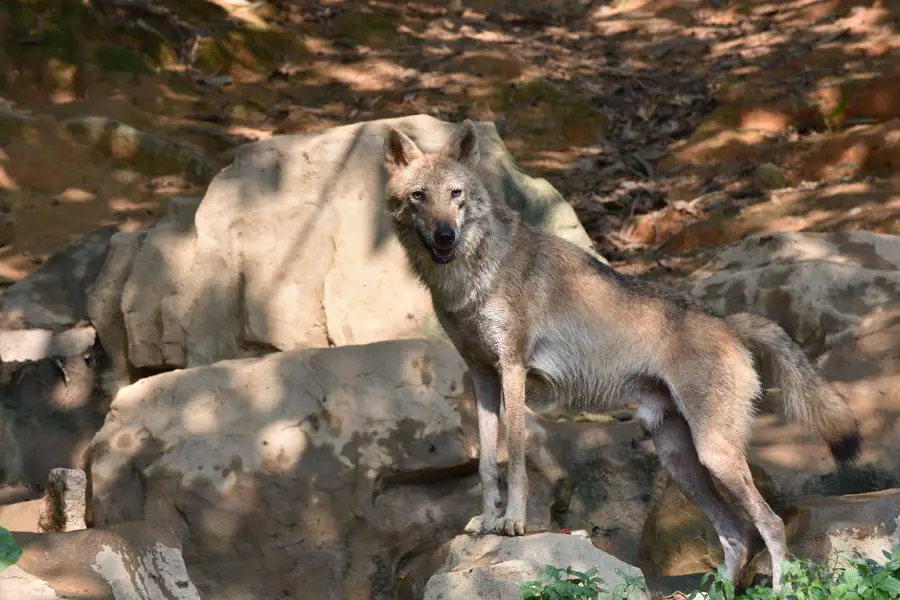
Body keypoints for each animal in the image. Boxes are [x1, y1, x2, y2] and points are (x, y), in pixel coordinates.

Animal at [378, 118, 856, 592]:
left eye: (456, 194)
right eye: (419, 196)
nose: (444, 235)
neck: (471, 278)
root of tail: (728, 323)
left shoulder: (512, 369)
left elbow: (513, 459)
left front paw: (511, 523)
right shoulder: (481, 374)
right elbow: (484, 463)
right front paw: (487, 520)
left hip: (714, 454)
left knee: (770, 524)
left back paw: (778, 589)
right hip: (682, 462)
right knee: (736, 532)